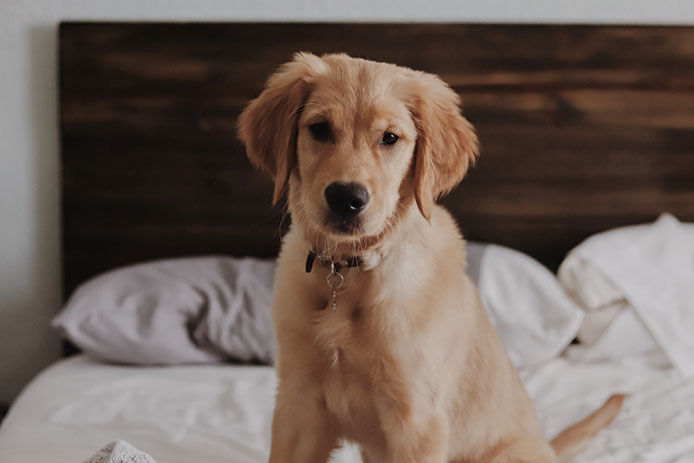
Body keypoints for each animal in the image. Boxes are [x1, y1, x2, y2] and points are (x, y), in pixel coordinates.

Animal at [239, 52, 624, 463]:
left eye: (390, 138)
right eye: (319, 128)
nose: (346, 198)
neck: (350, 272)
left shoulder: (417, 418)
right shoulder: (298, 401)